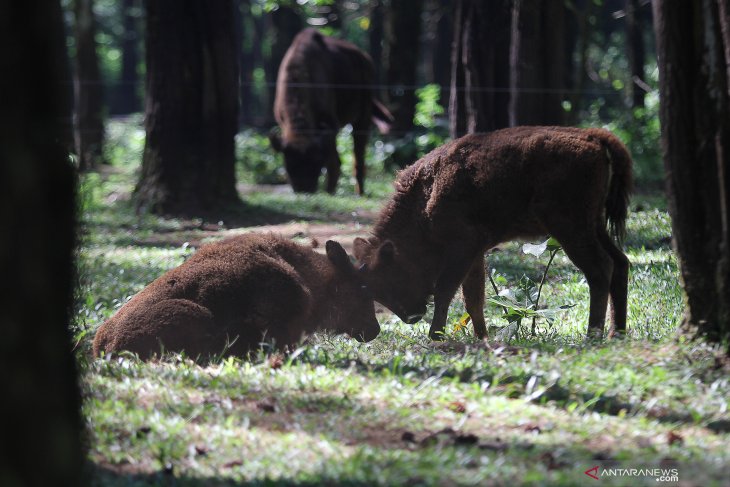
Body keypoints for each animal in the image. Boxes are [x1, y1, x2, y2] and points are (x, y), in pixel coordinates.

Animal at [268, 28, 392, 194]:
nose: (304, 190)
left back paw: (359, 192)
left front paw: (329, 192)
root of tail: (365, 59)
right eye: (290, 165)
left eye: (315, 164)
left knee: (359, 155)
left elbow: (334, 162)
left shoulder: (330, 125)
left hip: (363, 116)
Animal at [354, 124, 632, 342]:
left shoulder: (462, 248)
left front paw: (436, 336)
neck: (426, 192)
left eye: (392, 275)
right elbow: (473, 298)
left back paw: (592, 335)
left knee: (600, 269)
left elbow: (446, 290)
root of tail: (593, 136)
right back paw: (616, 333)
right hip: (594, 226)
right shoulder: (476, 253)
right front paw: (482, 337)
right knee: (620, 262)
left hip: (571, 229)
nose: (413, 316)